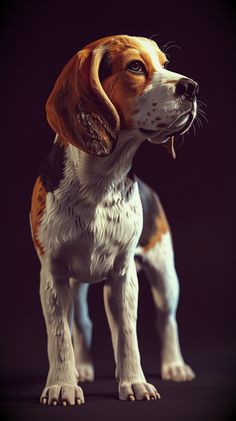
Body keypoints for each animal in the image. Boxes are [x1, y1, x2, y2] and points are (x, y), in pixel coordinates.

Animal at [30, 35, 198, 404]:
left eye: (165, 64)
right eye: (135, 66)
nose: (192, 87)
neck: (101, 180)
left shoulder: (123, 276)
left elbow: (128, 336)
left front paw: (133, 382)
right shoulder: (53, 275)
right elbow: (59, 336)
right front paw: (62, 384)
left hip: (165, 275)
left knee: (167, 320)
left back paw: (174, 366)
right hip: (76, 286)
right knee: (82, 324)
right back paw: (83, 369)